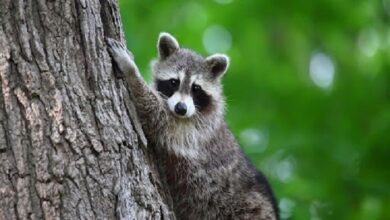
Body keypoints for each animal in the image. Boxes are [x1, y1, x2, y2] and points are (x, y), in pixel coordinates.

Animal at [105, 33, 278, 220]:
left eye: (196, 88)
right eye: (174, 82)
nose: (181, 108)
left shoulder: (195, 130)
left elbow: (158, 115)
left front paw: (131, 71)